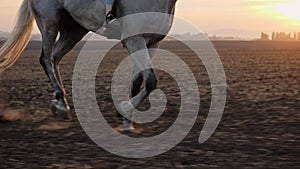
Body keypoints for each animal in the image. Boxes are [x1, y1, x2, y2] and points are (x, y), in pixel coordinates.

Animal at [0, 0, 177, 129]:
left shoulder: (152, 43)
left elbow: (137, 80)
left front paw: (126, 119)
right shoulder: (135, 40)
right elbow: (150, 81)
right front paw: (124, 110)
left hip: (73, 30)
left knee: (55, 57)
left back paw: (61, 102)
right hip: (49, 23)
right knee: (46, 59)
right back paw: (61, 102)